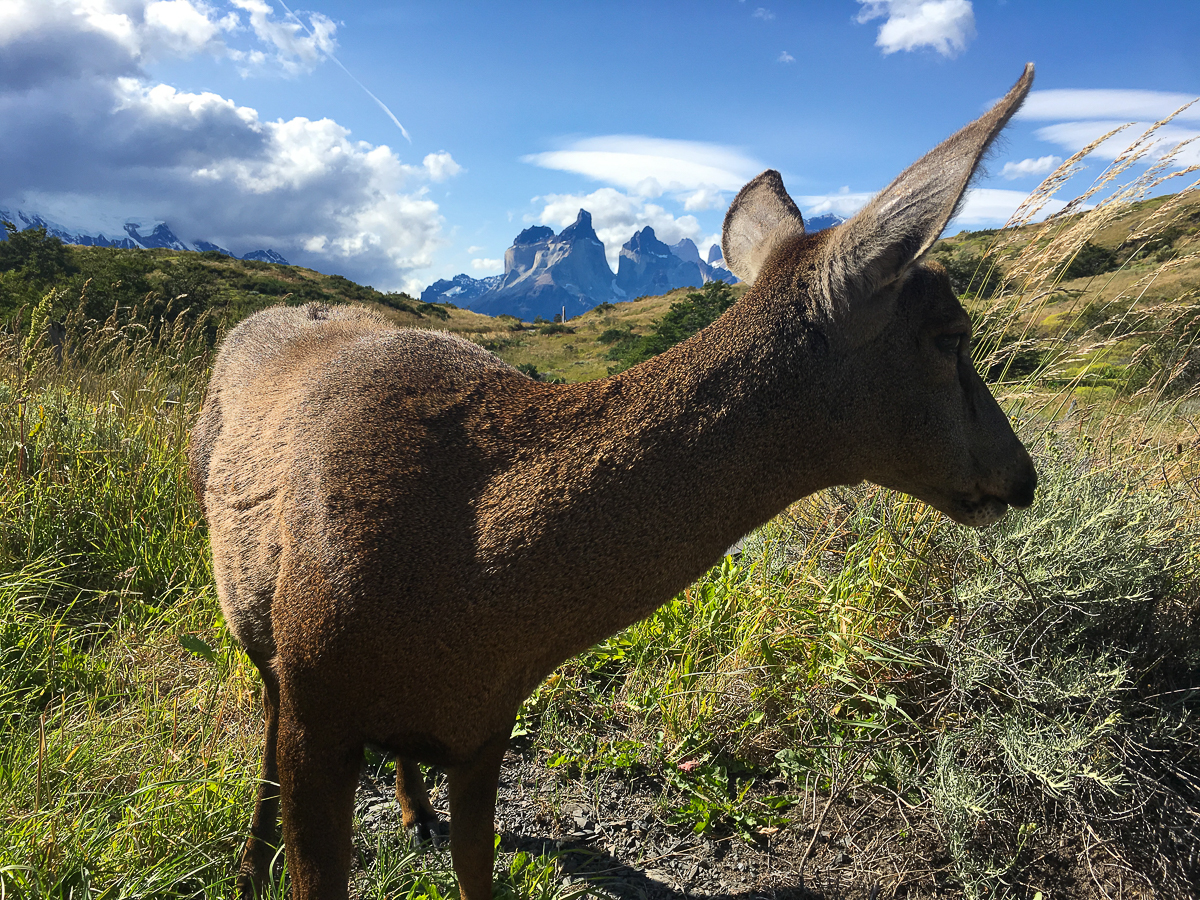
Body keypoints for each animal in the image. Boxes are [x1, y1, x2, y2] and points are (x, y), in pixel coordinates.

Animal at [187, 65, 1041, 900]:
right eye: (951, 335)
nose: (1024, 475)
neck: (468, 586)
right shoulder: (318, 706)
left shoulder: (487, 726)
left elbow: (475, 869)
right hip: (256, 626)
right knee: (265, 719)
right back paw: (250, 864)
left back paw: (413, 813)